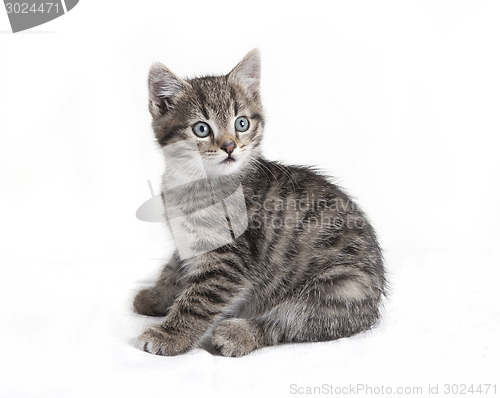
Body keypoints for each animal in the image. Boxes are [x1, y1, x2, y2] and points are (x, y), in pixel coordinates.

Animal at [134, 49, 386, 358]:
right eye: (201, 129)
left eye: (241, 123)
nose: (229, 146)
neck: (194, 182)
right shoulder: (188, 239)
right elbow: (175, 267)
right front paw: (156, 296)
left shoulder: (229, 259)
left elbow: (199, 300)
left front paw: (170, 335)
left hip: (341, 286)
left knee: (288, 321)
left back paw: (238, 333)